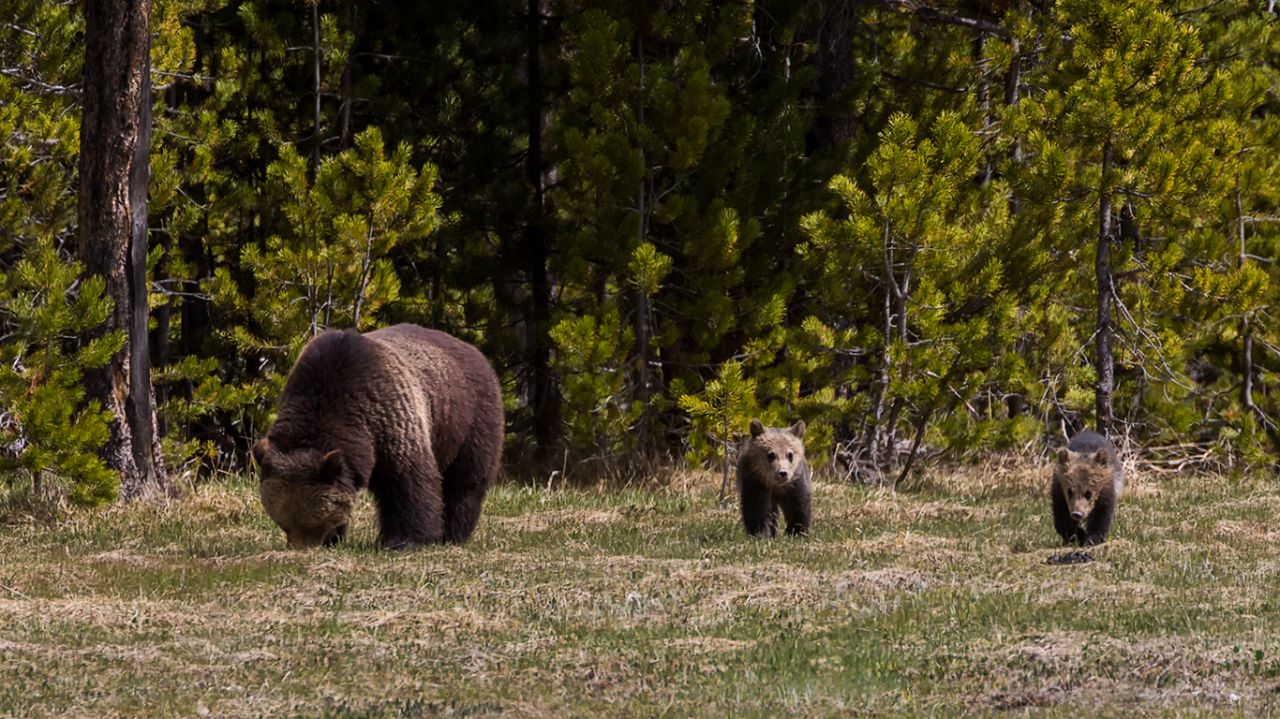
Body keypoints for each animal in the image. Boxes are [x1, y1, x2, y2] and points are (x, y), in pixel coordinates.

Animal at [252, 324, 504, 549]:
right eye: (284, 523)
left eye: (314, 524)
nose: (302, 548)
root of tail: (474, 350)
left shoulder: (391, 419)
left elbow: (408, 482)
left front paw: (405, 540)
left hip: (468, 420)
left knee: (464, 483)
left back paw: (453, 534)